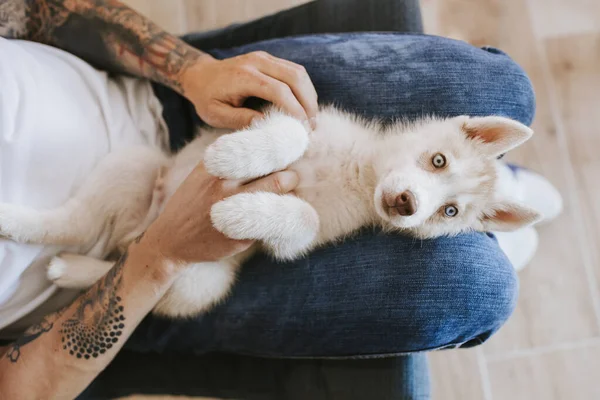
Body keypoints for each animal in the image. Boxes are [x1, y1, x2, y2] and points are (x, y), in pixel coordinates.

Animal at [0, 107, 540, 318]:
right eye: (439, 160)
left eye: (448, 211)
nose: (409, 205)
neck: (357, 174)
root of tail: (140, 229)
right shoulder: (298, 114)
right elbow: (291, 132)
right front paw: (233, 157)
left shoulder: (309, 235)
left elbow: (302, 220)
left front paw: (237, 212)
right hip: (133, 164)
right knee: (75, 221)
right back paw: (20, 224)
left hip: (199, 281)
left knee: (132, 274)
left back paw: (69, 267)